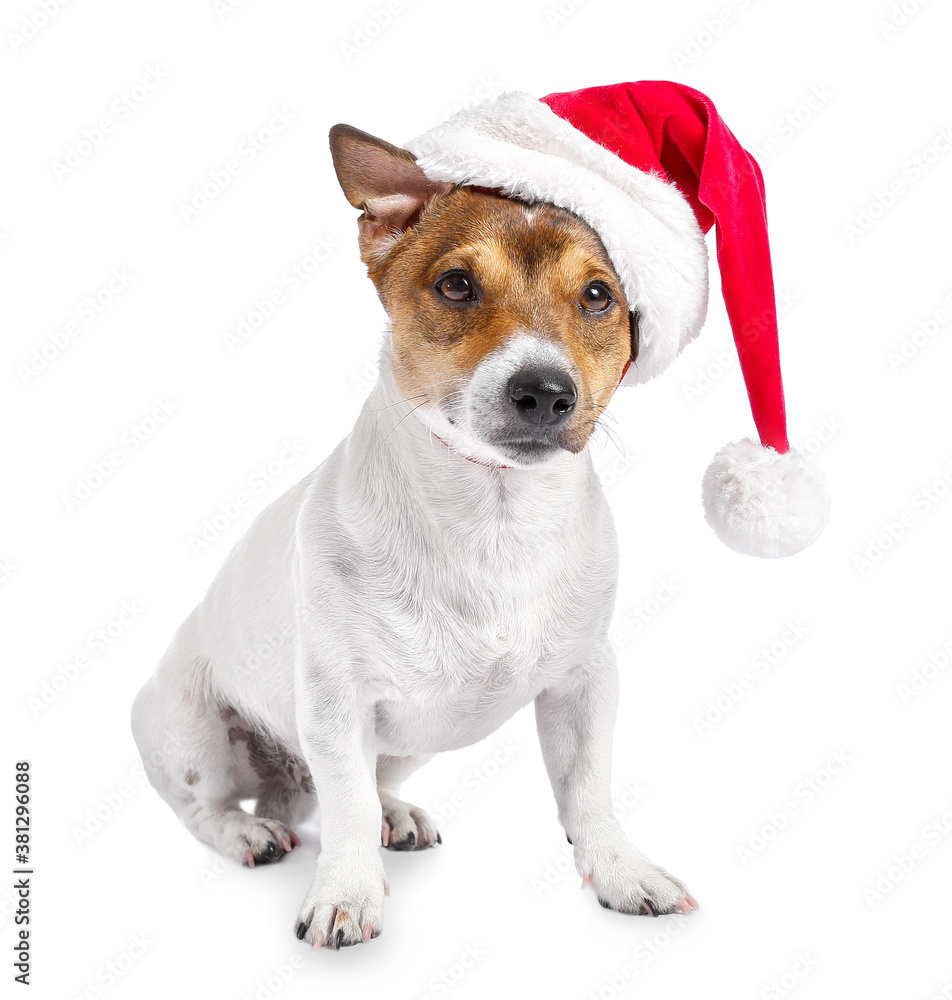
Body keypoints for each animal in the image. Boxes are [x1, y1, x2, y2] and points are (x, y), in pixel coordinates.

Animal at [130, 121, 700, 948]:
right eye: (456, 284)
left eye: (598, 296)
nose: (545, 392)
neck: (494, 518)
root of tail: (285, 787)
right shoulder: (336, 700)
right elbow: (345, 807)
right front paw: (346, 894)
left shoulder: (583, 681)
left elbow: (588, 789)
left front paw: (623, 871)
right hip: (187, 729)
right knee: (210, 808)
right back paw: (249, 832)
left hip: (406, 743)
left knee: (367, 787)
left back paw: (390, 816)